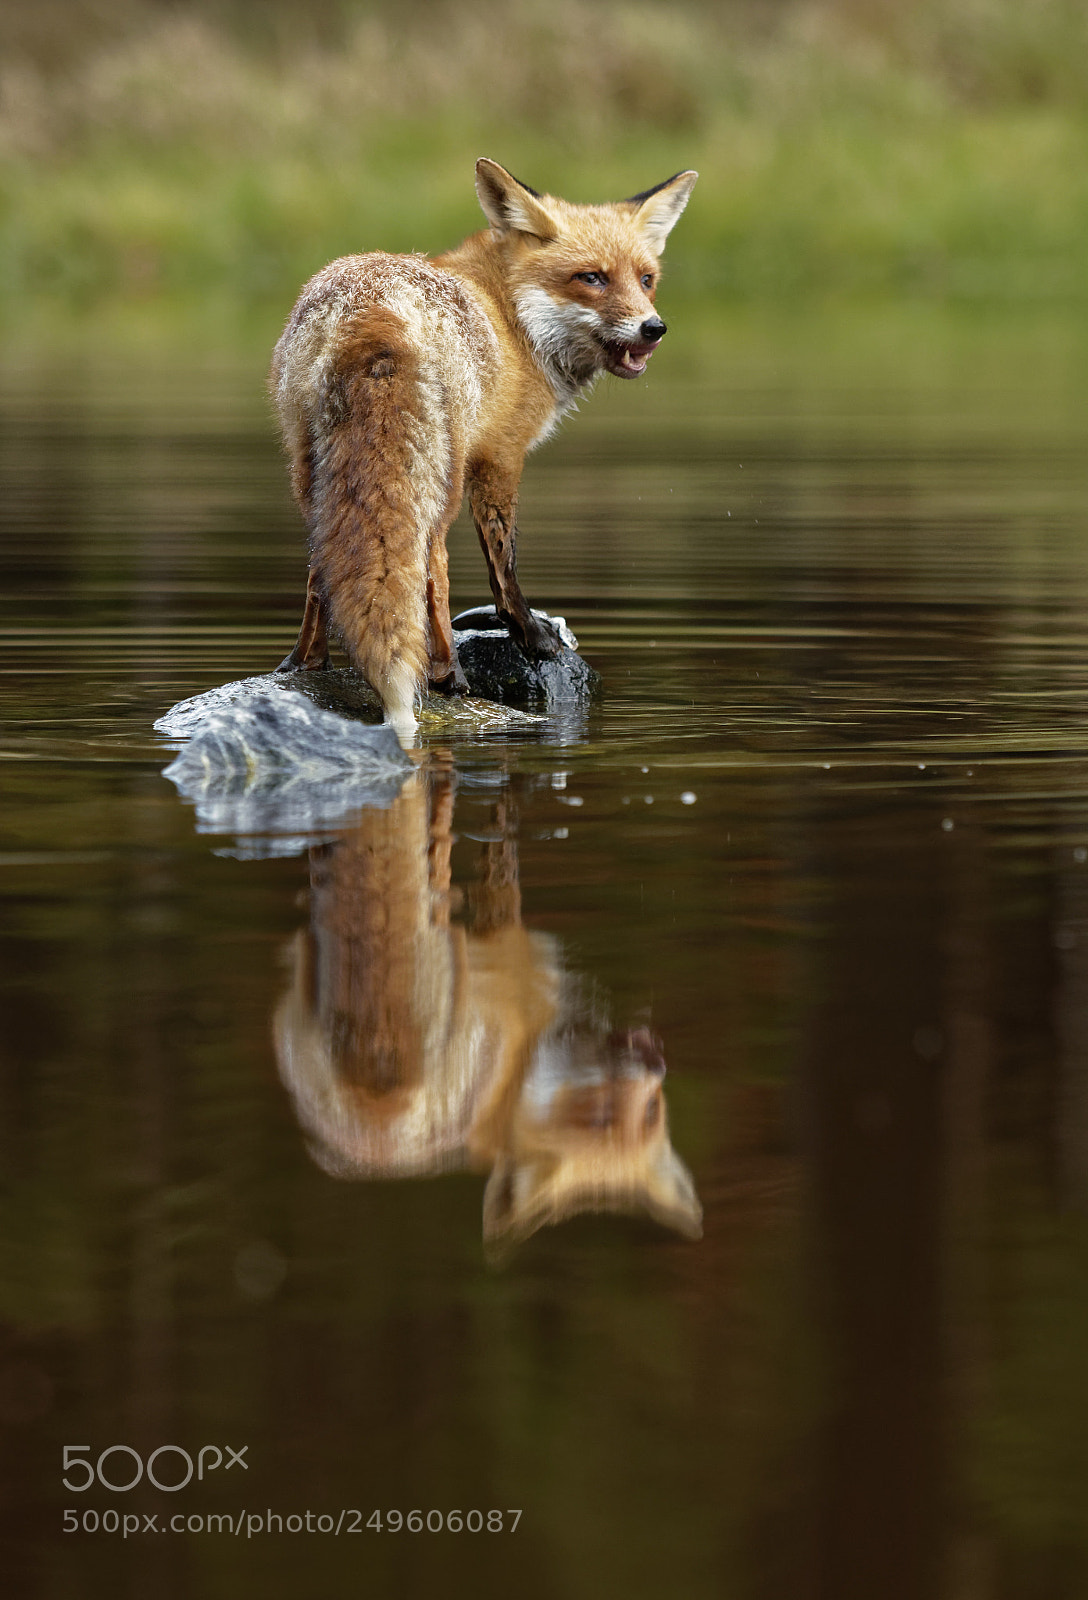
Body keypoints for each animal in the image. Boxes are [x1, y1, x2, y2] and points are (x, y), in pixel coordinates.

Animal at [270, 158, 697, 735]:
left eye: (646, 279)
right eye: (592, 278)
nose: (654, 328)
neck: (513, 317)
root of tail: (372, 310)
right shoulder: (500, 456)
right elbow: (503, 558)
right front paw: (531, 635)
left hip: (309, 465)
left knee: (322, 560)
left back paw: (306, 661)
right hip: (440, 476)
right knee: (432, 562)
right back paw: (447, 673)